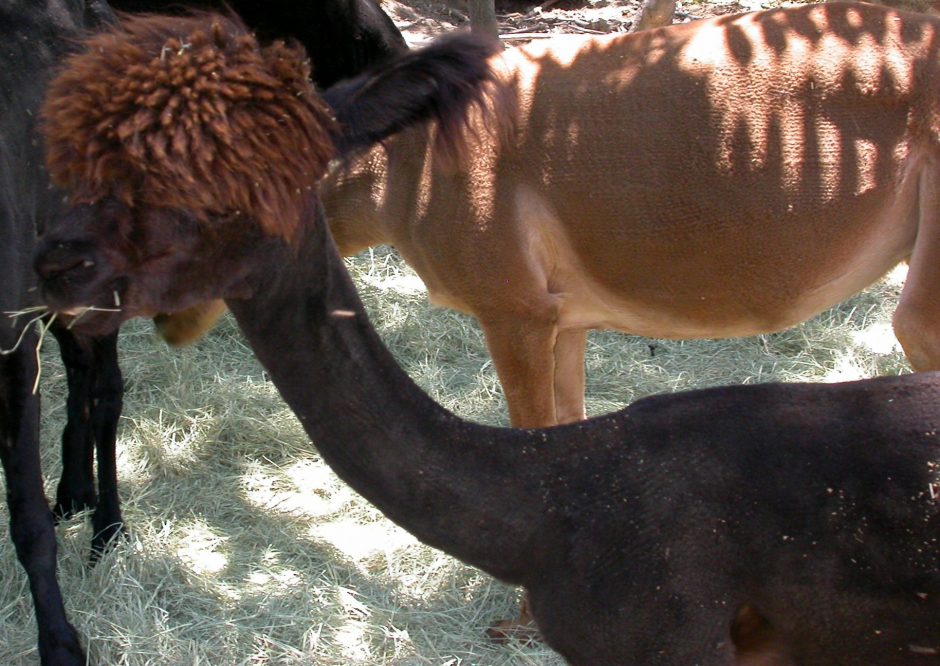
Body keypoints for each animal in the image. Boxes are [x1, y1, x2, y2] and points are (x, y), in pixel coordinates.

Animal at [34, 9, 940, 664]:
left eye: (208, 187)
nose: (57, 263)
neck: (404, 181)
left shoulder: (516, 307)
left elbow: (533, 424)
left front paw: (517, 626)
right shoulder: (566, 317)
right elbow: (564, 419)